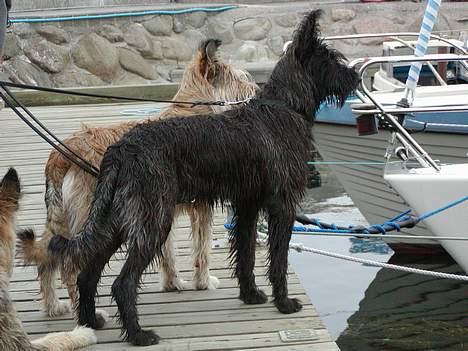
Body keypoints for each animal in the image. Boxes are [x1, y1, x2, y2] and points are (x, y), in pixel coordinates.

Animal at [17, 39, 260, 320]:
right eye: (239, 79)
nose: (257, 92)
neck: (192, 105)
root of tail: (61, 154)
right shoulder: (201, 206)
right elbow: (202, 248)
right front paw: (203, 281)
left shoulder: (162, 209)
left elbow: (167, 252)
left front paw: (172, 282)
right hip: (89, 218)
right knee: (71, 265)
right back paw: (87, 315)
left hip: (62, 217)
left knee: (47, 257)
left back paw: (53, 307)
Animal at [49, 9, 358, 348]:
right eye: (329, 59)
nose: (355, 77)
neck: (283, 107)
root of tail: (122, 149)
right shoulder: (282, 206)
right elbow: (277, 260)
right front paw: (284, 303)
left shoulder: (247, 206)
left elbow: (246, 254)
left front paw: (250, 295)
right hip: (152, 222)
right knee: (122, 283)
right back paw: (138, 334)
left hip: (118, 221)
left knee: (87, 275)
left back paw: (90, 323)